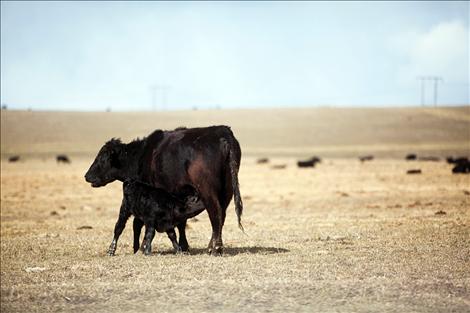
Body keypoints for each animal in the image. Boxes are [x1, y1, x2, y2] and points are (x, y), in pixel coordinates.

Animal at [85, 125, 244, 256]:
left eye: (102, 158)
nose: (87, 176)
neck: (143, 155)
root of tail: (224, 133)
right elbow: (181, 222)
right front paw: (183, 246)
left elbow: (140, 223)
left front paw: (141, 247)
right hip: (227, 190)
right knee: (221, 215)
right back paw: (212, 246)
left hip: (208, 190)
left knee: (215, 214)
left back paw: (215, 248)